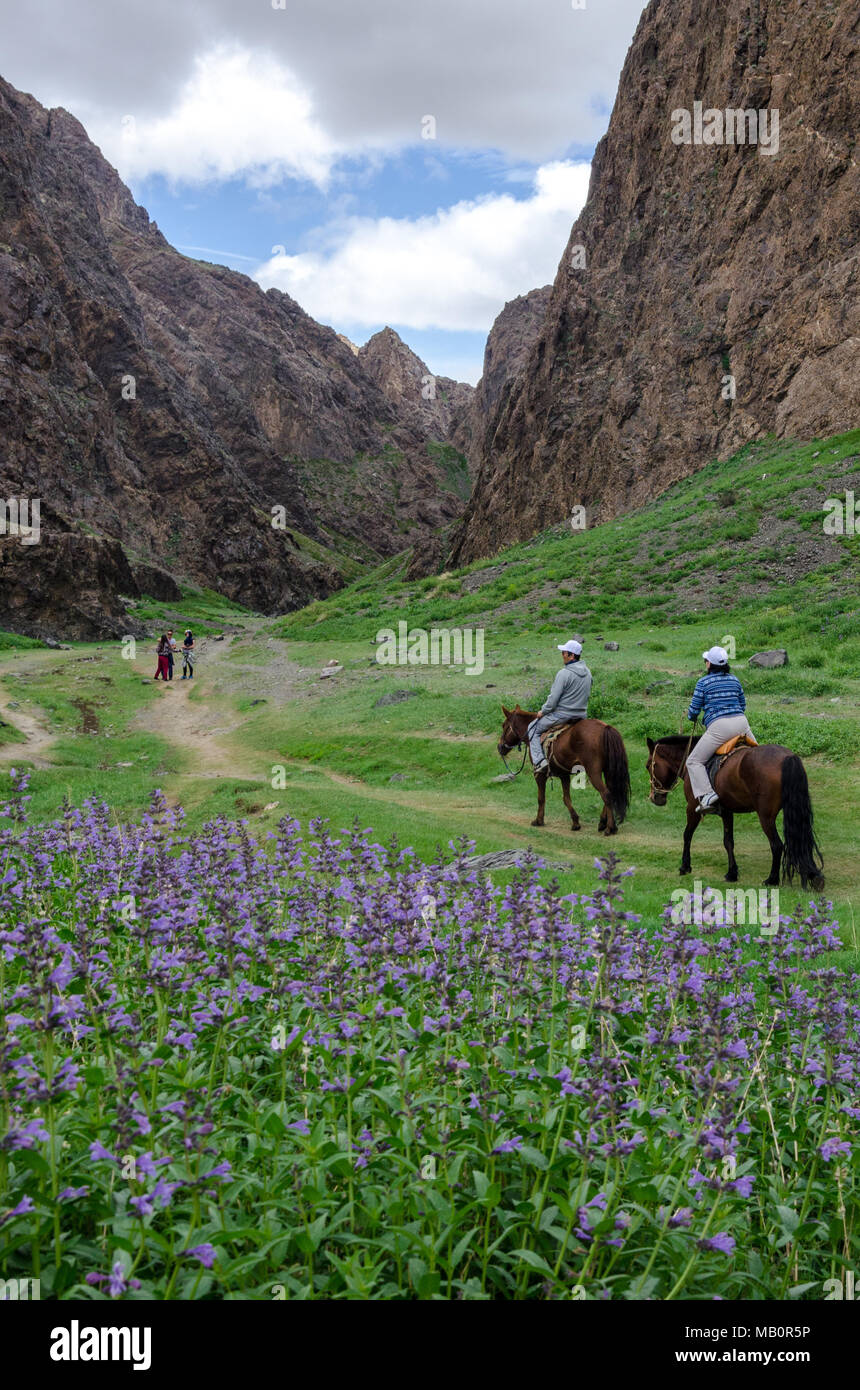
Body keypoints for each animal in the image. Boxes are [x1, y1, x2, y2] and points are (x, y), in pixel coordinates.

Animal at [497, 706, 633, 834]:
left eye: (504, 726)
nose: (499, 747)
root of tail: (606, 728)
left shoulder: (539, 774)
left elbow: (541, 798)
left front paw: (539, 820)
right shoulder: (564, 775)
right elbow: (566, 798)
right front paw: (575, 822)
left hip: (593, 772)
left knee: (606, 794)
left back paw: (610, 828)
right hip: (608, 771)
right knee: (611, 792)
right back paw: (602, 823)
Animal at [644, 733, 828, 884]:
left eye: (648, 765)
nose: (655, 797)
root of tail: (787, 757)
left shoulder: (692, 808)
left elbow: (687, 835)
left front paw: (685, 866)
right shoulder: (727, 812)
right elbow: (728, 842)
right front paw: (732, 873)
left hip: (766, 816)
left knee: (777, 845)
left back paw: (772, 879)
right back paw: (813, 876)